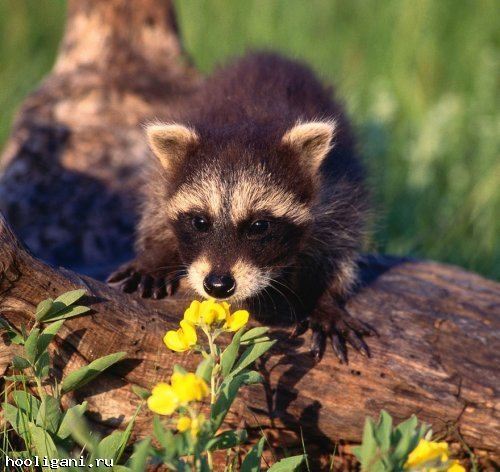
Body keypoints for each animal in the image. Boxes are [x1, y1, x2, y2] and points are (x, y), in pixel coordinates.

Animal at [107, 52, 374, 362]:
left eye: (259, 226)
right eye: (200, 222)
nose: (218, 285)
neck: (248, 121)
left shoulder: (337, 187)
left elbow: (338, 244)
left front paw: (324, 297)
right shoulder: (161, 180)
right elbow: (155, 209)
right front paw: (156, 254)